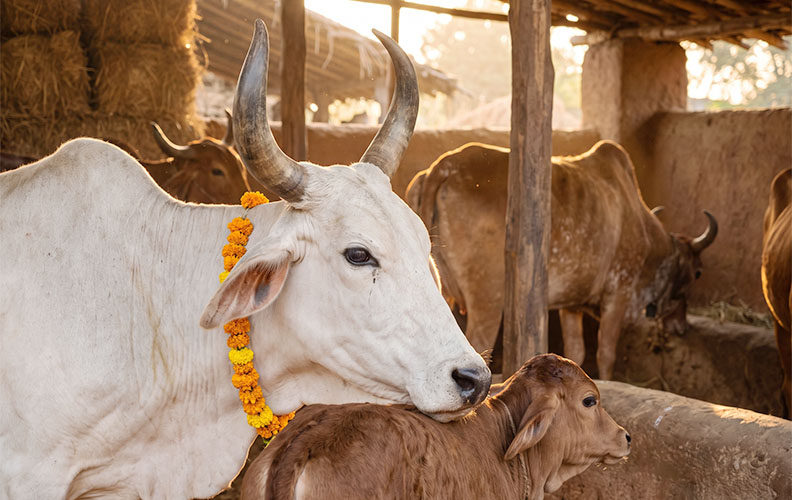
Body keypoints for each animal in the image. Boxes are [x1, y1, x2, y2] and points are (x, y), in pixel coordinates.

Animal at [406, 141, 717, 380]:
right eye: (698, 272)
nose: (682, 327)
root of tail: (442, 167)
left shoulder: (571, 304)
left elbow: (576, 353)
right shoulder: (619, 292)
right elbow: (605, 353)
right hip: (488, 299)